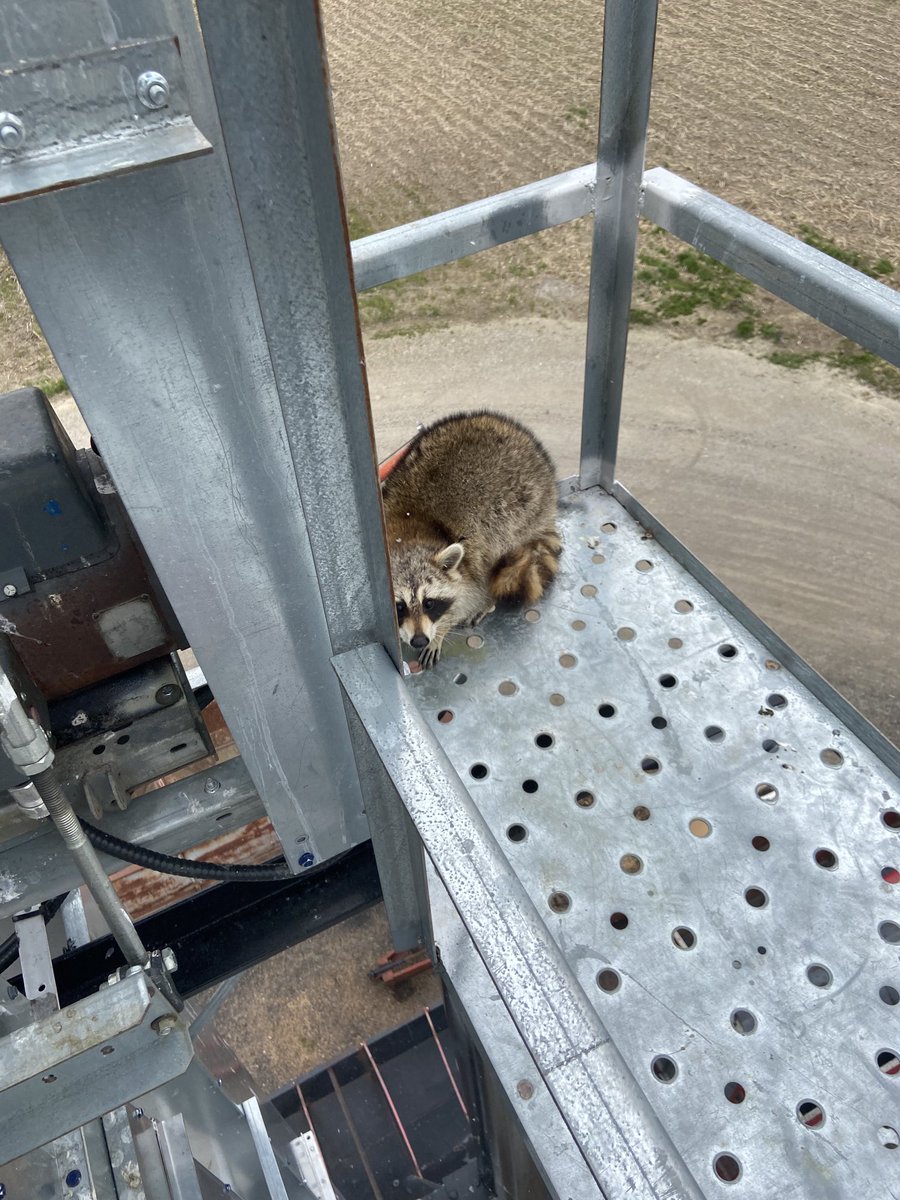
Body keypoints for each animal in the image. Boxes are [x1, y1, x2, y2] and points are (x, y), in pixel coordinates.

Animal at [381, 410, 561, 667]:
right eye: (399, 606)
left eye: (429, 603)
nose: (419, 640)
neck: (406, 533)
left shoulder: (469, 563)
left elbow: (465, 598)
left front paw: (441, 631)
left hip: (522, 508)